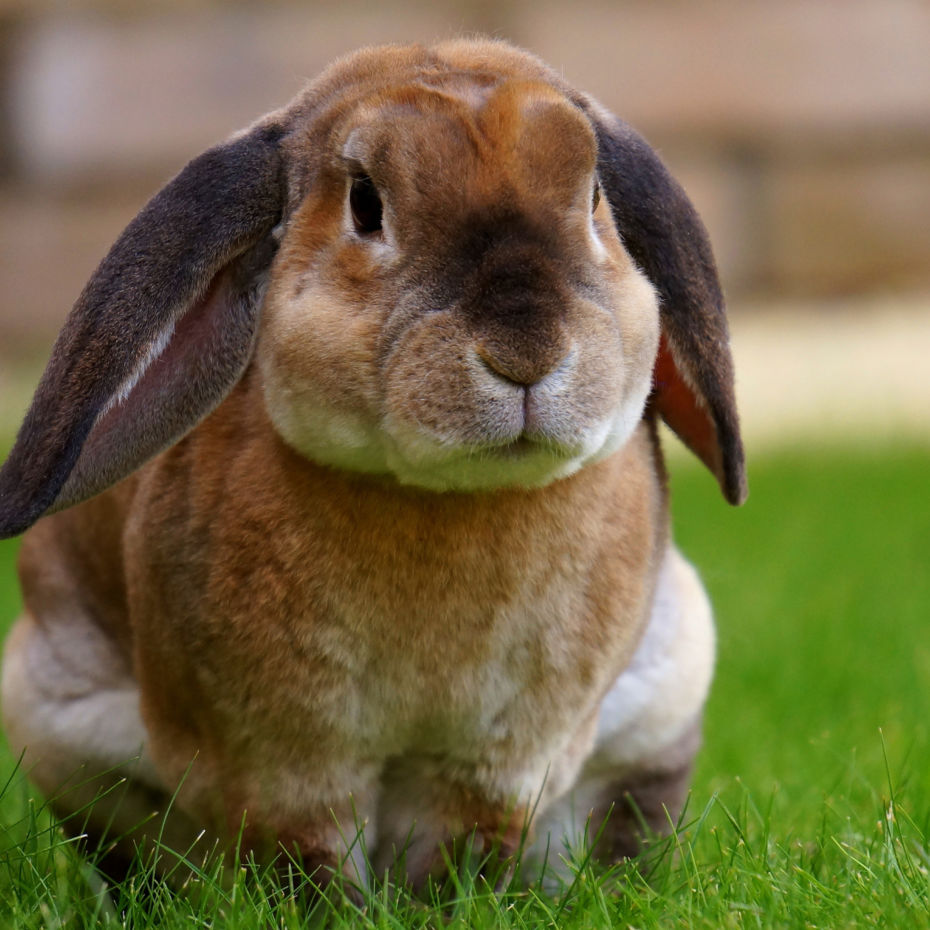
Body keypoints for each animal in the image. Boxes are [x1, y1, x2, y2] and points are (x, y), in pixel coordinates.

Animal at [0, 38, 745, 889]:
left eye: (593, 198)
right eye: (365, 204)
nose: (526, 351)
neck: (445, 499)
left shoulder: (496, 763)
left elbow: (459, 851)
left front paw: (446, 904)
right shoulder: (285, 764)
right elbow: (309, 857)